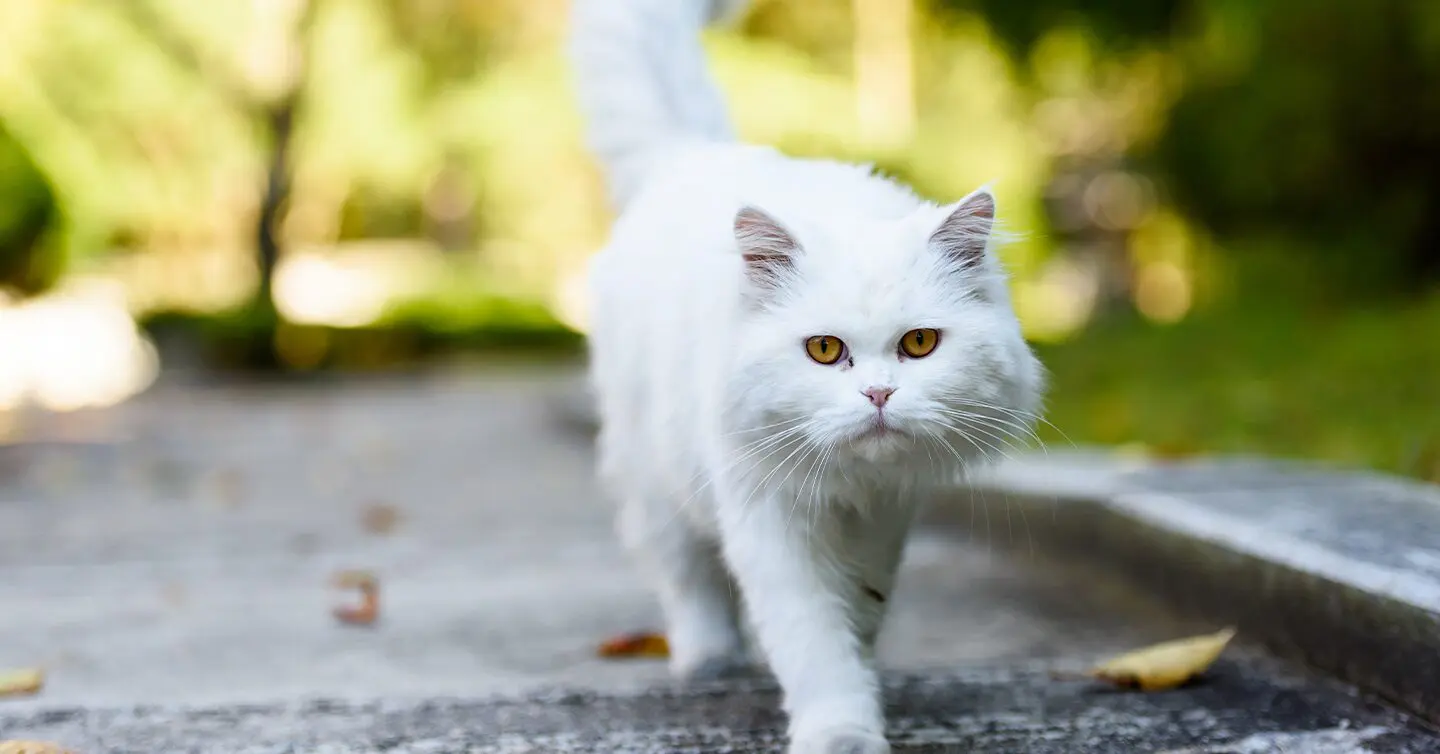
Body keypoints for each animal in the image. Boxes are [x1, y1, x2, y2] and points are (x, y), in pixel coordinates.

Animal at [567, 2, 1042, 748]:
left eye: (919, 344)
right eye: (823, 350)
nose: (879, 393)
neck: (851, 488)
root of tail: (692, 155)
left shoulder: (885, 516)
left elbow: (860, 611)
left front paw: (863, 676)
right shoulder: (769, 518)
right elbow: (812, 639)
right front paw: (842, 731)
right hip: (654, 479)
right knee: (686, 576)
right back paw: (710, 660)